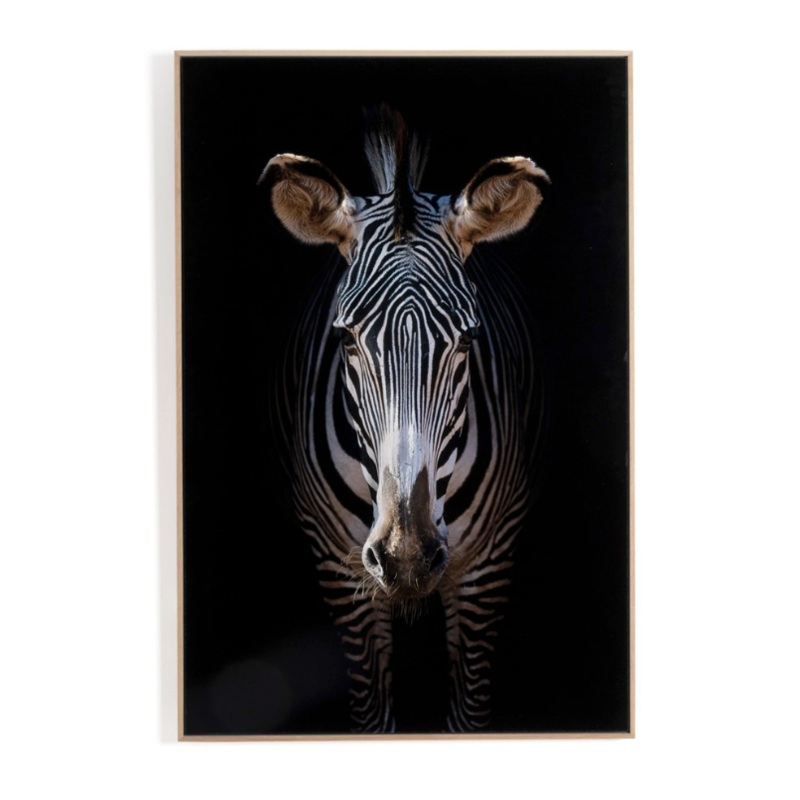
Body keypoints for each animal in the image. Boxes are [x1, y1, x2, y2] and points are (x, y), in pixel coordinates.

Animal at [260, 107, 549, 733]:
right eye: (345, 339)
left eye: (467, 340)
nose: (406, 555)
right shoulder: (338, 569)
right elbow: (373, 717)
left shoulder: (487, 568)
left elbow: (468, 715)